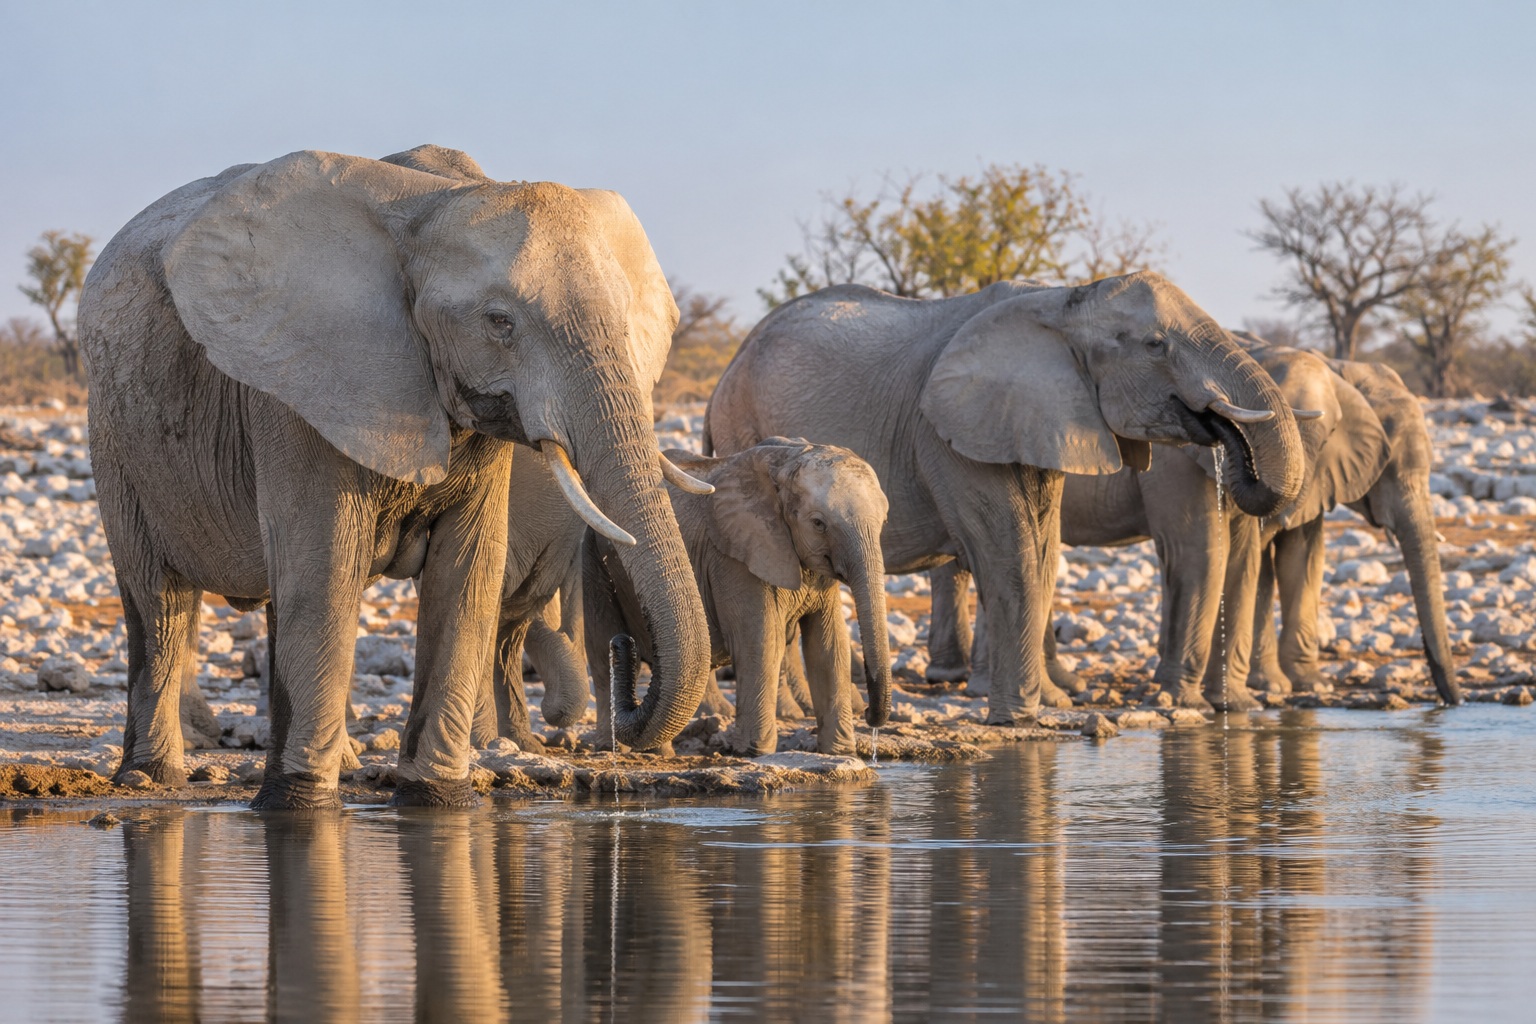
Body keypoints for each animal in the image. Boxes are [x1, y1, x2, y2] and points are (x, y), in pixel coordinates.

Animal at [77, 143, 713, 808]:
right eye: (499, 322)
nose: (623, 653)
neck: (432, 204)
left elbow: (467, 571)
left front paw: (437, 798)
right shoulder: (301, 388)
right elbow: (326, 565)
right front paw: (300, 806)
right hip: (115, 434)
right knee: (161, 603)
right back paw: (151, 778)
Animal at [590, 438, 892, 755]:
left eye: (884, 521)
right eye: (819, 523)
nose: (869, 714)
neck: (786, 461)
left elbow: (828, 645)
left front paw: (839, 751)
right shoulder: (734, 558)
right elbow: (762, 641)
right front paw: (755, 752)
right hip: (593, 553)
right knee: (601, 647)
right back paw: (612, 747)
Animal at [706, 273, 1306, 724]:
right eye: (1156, 345)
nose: (1221, 429)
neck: (1060, 300)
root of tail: (725, 373)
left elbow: (1041, 551)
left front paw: (1040, 707)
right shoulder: (948, 432)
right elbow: (1010, 554)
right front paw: (1018, 718)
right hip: (746, 429)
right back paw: (791, 715)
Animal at [1248, 355, 1462, 705]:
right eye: (1387, 468)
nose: (1453, 703)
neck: (1343, 371)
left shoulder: (1320, 472)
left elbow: (1303, 556)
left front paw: (1312, 685)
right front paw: (1271, 686)